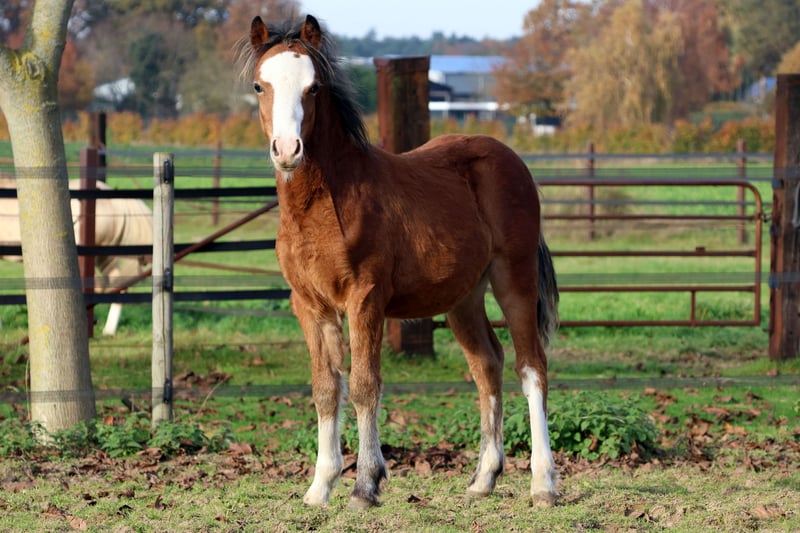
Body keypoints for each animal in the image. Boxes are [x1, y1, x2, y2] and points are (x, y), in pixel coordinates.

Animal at [239, 14, 560, 508]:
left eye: (314, 87)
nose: (288, 149)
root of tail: (512, 160)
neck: (324, 205)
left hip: (514, 279)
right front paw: (319, 487)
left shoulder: (365, 299)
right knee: (488, 365)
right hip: (464, 298)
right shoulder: (309, 306)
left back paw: (543, 484)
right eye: (260, 85)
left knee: (532, 367)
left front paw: (365, 485)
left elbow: (365, 385)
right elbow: (325, 388)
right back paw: (483, 478)